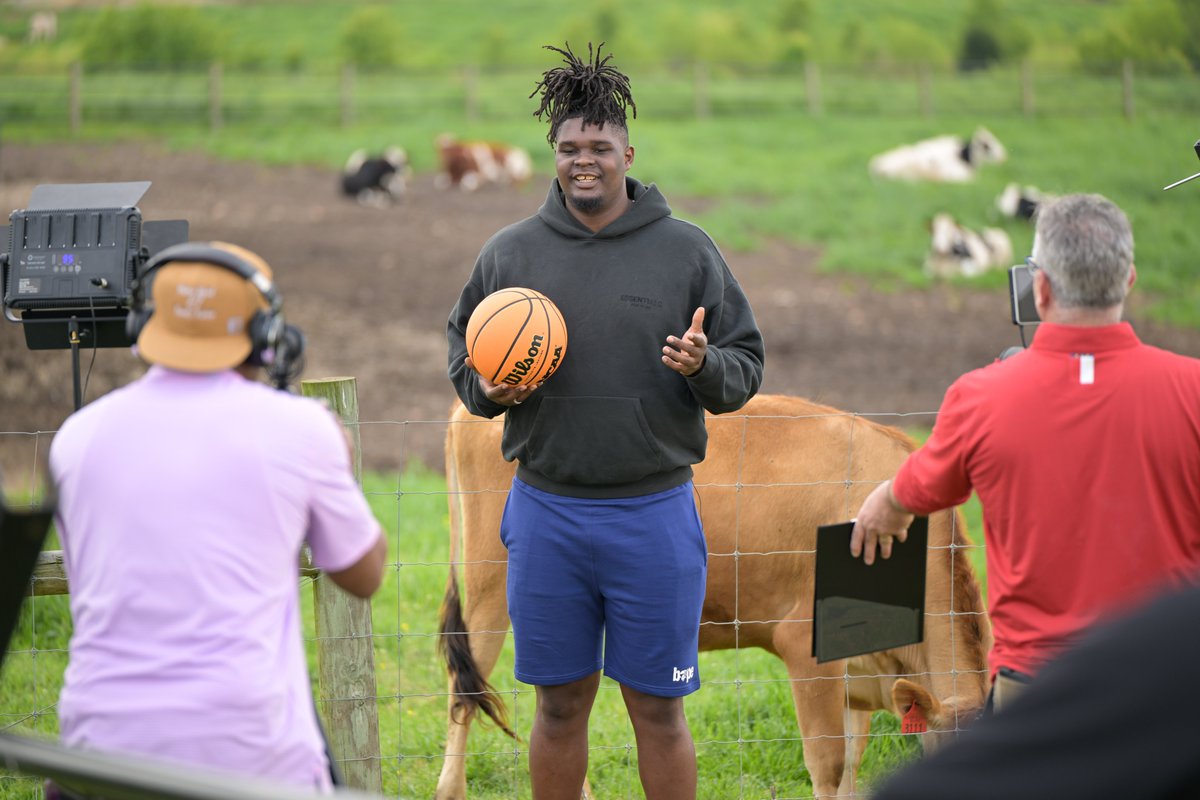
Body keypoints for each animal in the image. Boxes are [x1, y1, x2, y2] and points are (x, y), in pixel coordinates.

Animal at [436, 393, 988, 800]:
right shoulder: (805, 647)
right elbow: (828, 766)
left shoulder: (862, 676)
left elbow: (852, 762)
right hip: (488, 589)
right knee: (464, 692)